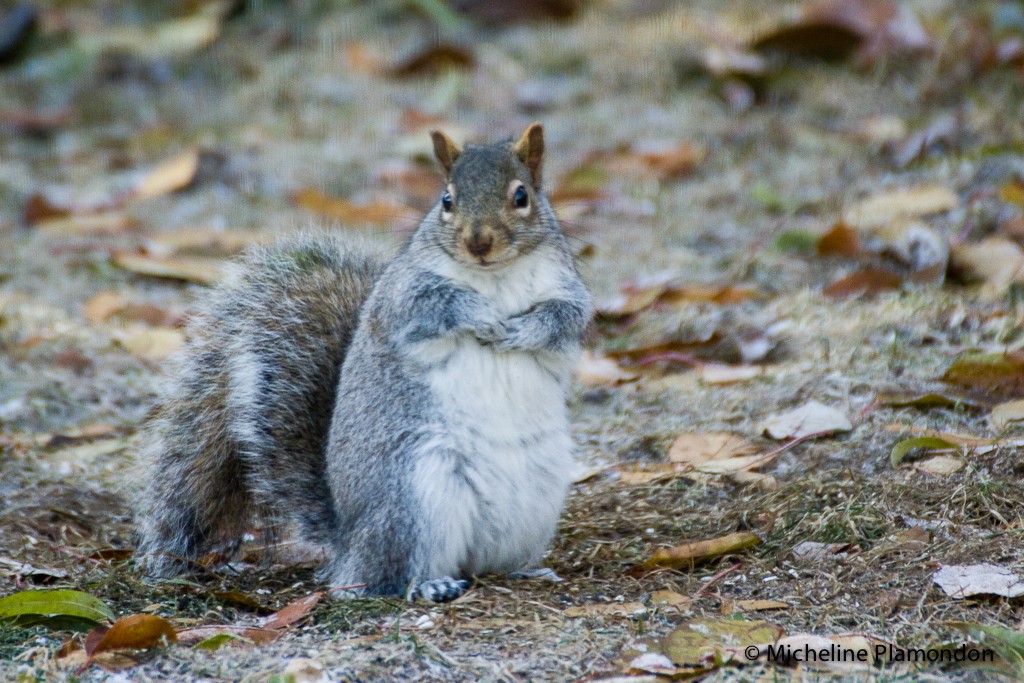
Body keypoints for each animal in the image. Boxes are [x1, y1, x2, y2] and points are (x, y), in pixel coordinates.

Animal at [132, 124, 593, 602]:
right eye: (446, 200)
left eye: (521, 196)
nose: (478, 242)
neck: (494, 275)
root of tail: (348, 542)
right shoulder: (403, 296)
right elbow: (434, 305)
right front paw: (480, 314)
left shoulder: (568, 290)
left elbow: (565, 318)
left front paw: (522, 330)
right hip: (417, 493)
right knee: (387, 574)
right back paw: (430, 584)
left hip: (535, 500)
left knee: (482, 561)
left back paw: (525, 572)